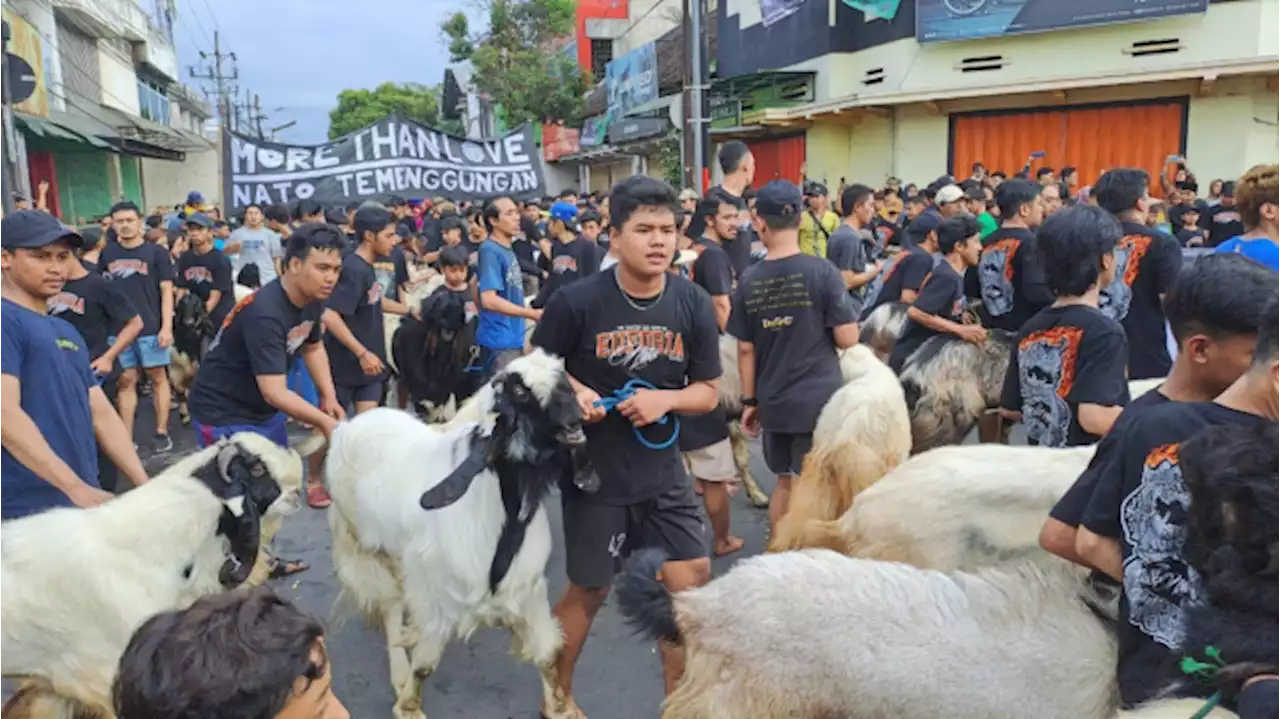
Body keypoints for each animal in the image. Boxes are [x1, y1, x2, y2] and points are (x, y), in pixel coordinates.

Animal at [325, 347, 593, 716]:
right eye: (520, 391)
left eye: (563, 379)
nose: (575, 420)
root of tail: (349, 425)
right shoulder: (436, 595)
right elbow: (425, 664)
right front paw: (408, 706)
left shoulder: (527, 592)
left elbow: (548, 654)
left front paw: (559, 707)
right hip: (365, 545)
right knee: (390, 604)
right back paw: (399, 671)